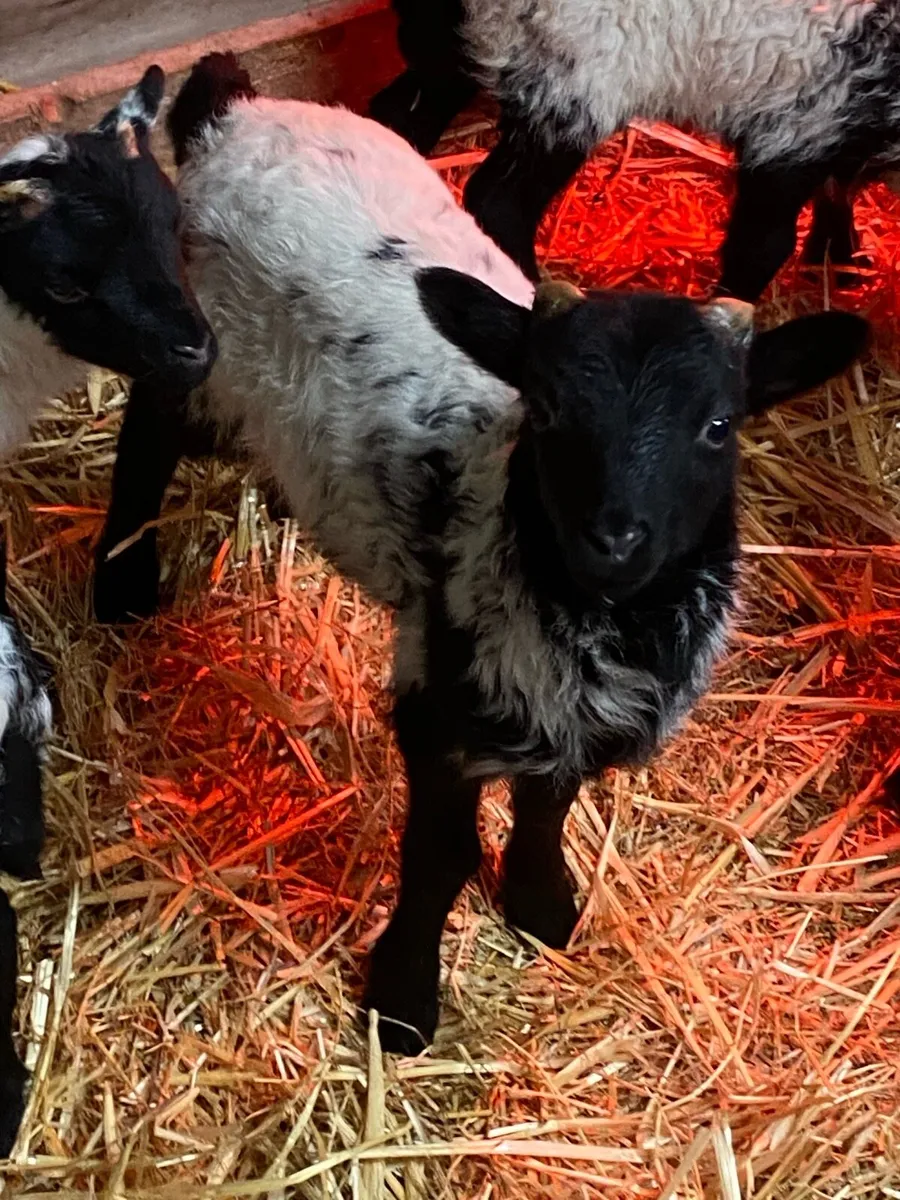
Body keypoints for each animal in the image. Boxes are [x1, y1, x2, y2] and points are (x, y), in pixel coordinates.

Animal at [92, 54, 868, 1052]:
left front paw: (542, 904)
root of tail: (234, 112)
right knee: (147, 431)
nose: (614, 537)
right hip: (210, 357)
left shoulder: (569, 706)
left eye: (718, 425)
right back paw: (119, 582)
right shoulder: (443, 688)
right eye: (547, 408)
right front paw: (402, 1002)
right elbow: (441, 853)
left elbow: (550, 800)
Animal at [369, 0, 900, 299]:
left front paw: (841, 260)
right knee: (499, 201)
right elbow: (762, 247)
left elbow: (838, 188)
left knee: (396, 118)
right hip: (574, 68)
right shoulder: (797, 119)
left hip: (454, 43)